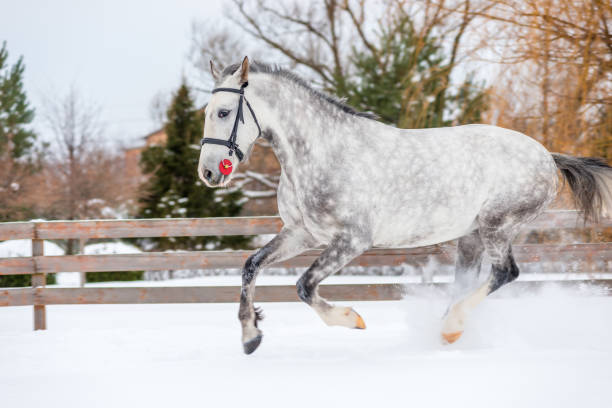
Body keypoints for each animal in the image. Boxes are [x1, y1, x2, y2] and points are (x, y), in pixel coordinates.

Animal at [198, 57, 612, 354]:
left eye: (223, 112)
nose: (208, 173)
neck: (322, 153)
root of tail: (546, 156)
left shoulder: (352, 240)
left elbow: (304, 286)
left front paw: (352, 319)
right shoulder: (302, 234)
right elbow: (251, 266)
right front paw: (250, 337)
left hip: (498, 225)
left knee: (504, 273)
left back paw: (450, 328)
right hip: (472, 235)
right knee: (469, 282)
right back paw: (444, 332)